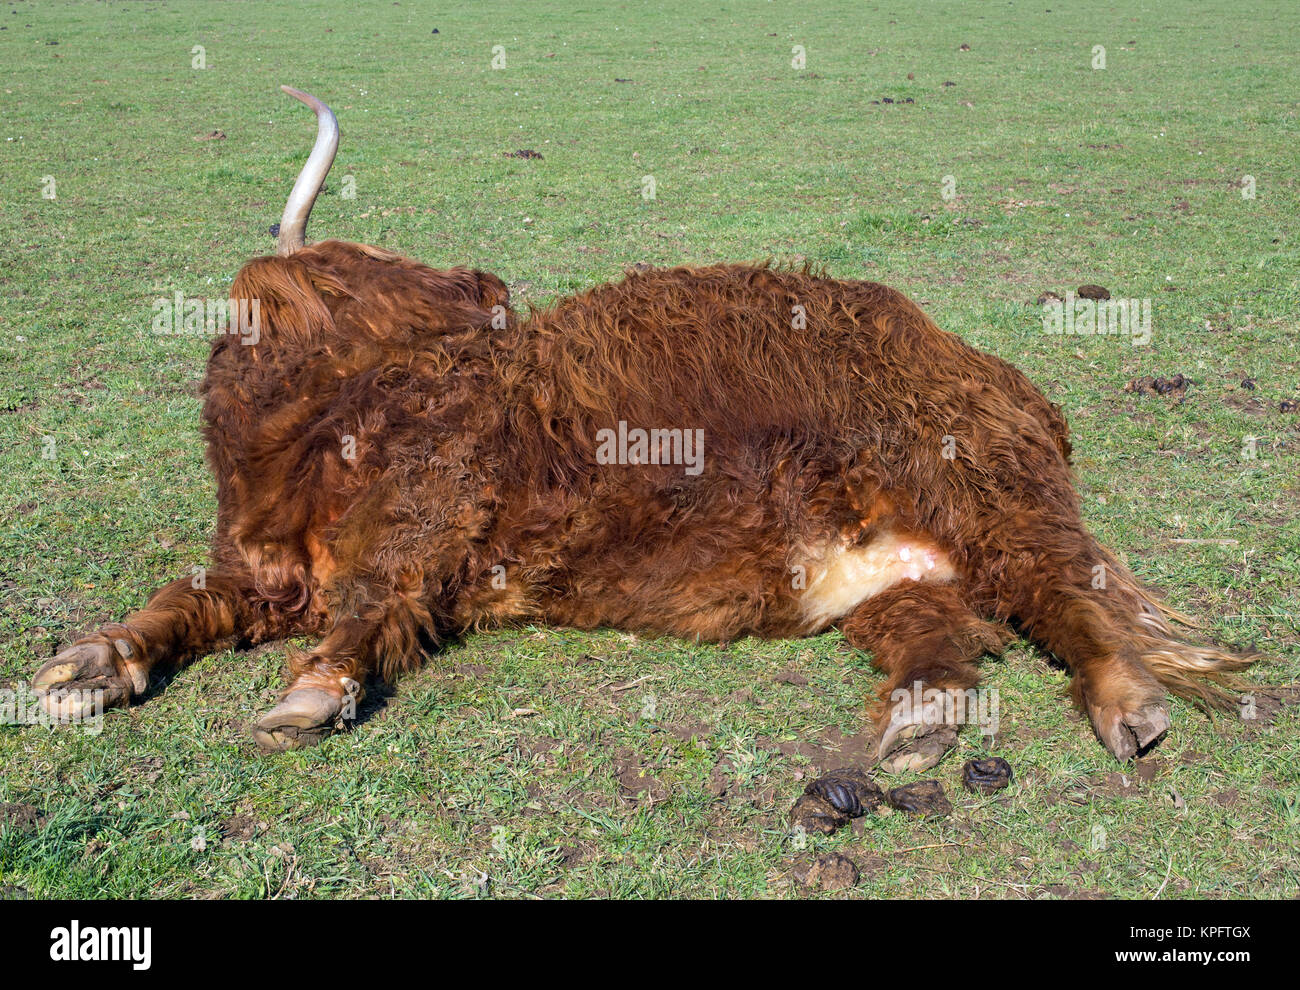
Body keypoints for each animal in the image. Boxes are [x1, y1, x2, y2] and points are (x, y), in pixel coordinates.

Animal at [32, 87, 1253, 771]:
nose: (488, 287)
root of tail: (995, 372)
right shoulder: (259, 571)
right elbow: (183, 600)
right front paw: (85, 665)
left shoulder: (426, 525)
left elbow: (370, 603)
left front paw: (306, 696)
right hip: (898, 573)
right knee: (944, 636)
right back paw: (916, 727)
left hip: (978, 489)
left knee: (1065, 596)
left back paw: (1127, 709)